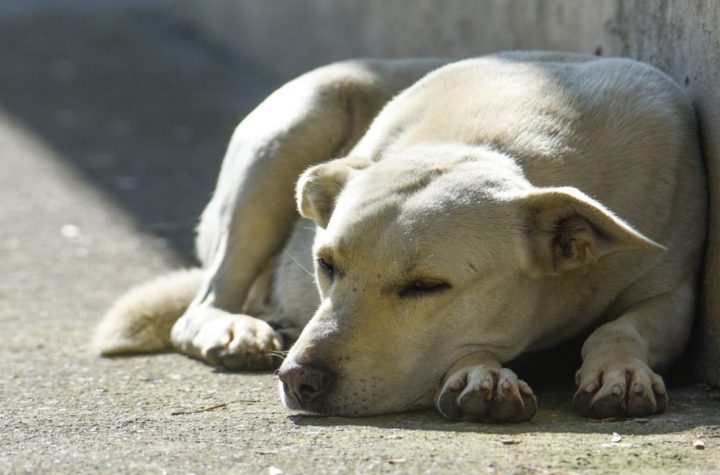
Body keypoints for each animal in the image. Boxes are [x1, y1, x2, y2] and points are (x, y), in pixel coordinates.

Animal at [93, 53, 704, 424]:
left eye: (428, 287)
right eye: (326, 264)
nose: (299, 379)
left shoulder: (674, 291)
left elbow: (622, 327)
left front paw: (620, 370)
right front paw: (482, 373)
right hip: (293, 126)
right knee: (202, 304)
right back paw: (235, 327)